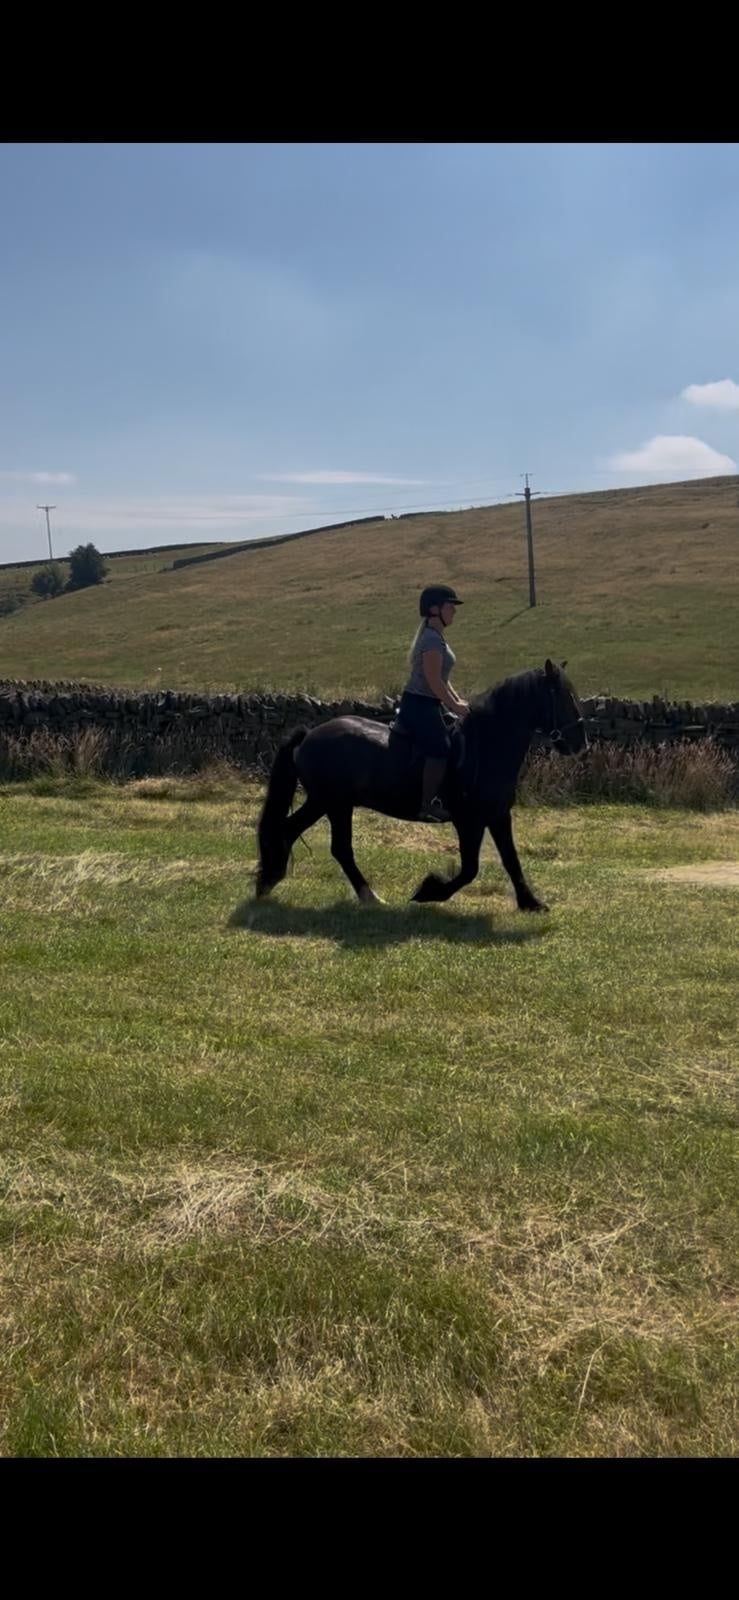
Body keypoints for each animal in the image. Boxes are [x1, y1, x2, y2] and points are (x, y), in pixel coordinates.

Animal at [255, 659, 587, 909]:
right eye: (562, 696)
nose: (580, 744)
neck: (486, 745)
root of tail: (309, 735)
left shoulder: (497, 815)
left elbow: (510, 860)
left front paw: (531, 903)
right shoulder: (469, 821)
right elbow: (470, 869)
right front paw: (429, 891)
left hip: (329, 803)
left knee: (302, 834)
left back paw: (274, 880)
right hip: (331, 802)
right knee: (329, 844)